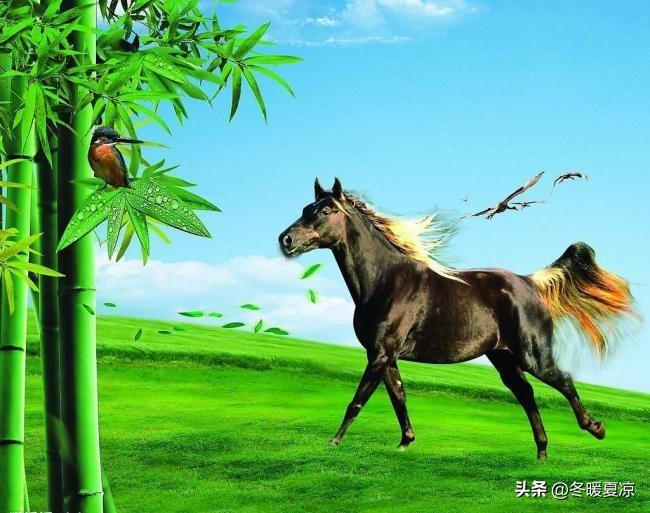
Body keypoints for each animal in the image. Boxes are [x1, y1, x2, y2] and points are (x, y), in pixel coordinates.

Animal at [278, 178, 636, 459]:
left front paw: (334, 442)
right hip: (504, 358)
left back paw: (596, 428)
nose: (286, 240)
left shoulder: (379, 354)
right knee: (526, 394)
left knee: (563, 380)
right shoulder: (385, 355)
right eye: (305, 208)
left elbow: (357, 400)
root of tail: (530, 282)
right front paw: (405, 443)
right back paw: (542, 452)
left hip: (533, 355)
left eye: (325, 211)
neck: (385, 281)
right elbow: (398, 397)